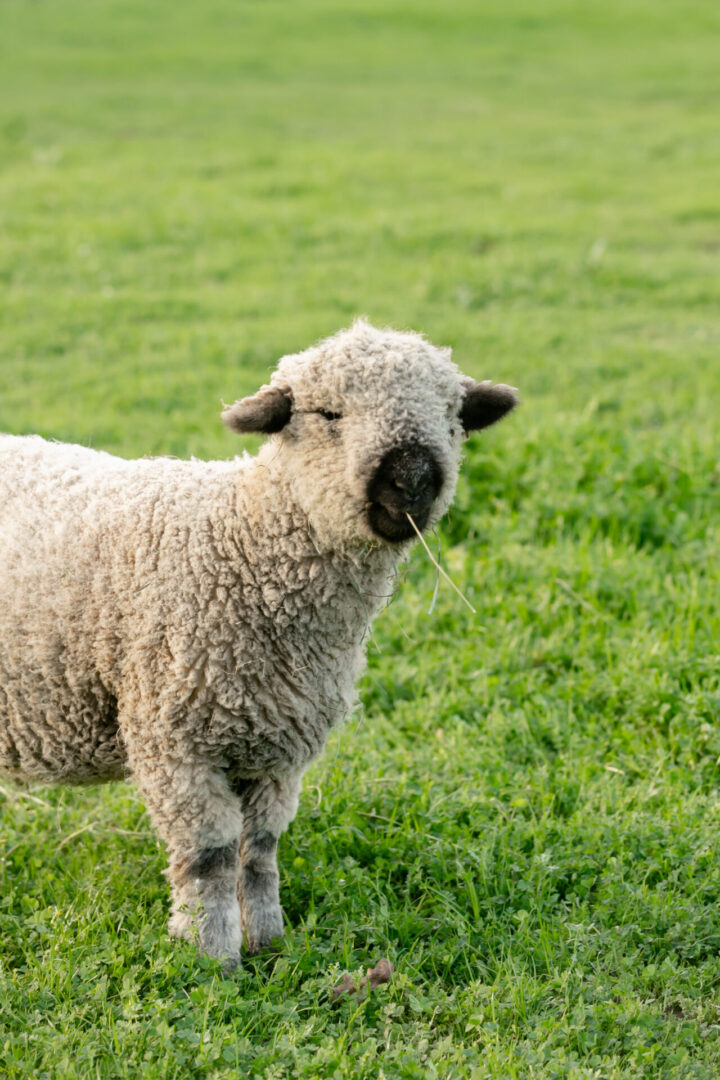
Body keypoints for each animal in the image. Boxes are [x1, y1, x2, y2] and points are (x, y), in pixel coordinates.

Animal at [0, 319, 517, 967]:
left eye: (453, 414)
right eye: (328, 413)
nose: (412, 479)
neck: (243, 544)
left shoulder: (278, 748)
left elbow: (261, 848)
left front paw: (270, 944)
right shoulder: (174, 742)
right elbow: (212, 855)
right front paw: (211, 957)